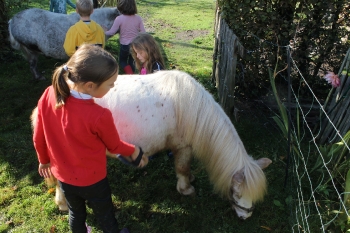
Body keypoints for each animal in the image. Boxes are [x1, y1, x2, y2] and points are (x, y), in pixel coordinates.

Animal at [30, 70, 270, 219]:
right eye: (236, 192)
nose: (245, 216)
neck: (194, 109)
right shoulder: (182, 147)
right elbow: (182, 168)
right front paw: (186, 189)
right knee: (61, 182)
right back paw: (62, 203)